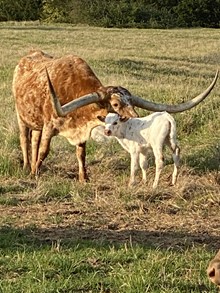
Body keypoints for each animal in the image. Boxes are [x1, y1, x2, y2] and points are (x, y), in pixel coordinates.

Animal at [13, 50, 218, 180]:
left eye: (132, 102)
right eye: (115, 104)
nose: (136, 119)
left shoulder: (80, 131)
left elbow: (81, 154)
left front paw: (84, 178)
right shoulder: (49, 125)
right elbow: (44, 151)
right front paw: (34, 174)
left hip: (36, 123)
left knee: (34, 140)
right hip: (21, 118)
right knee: (25, 139)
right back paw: (27, 167)